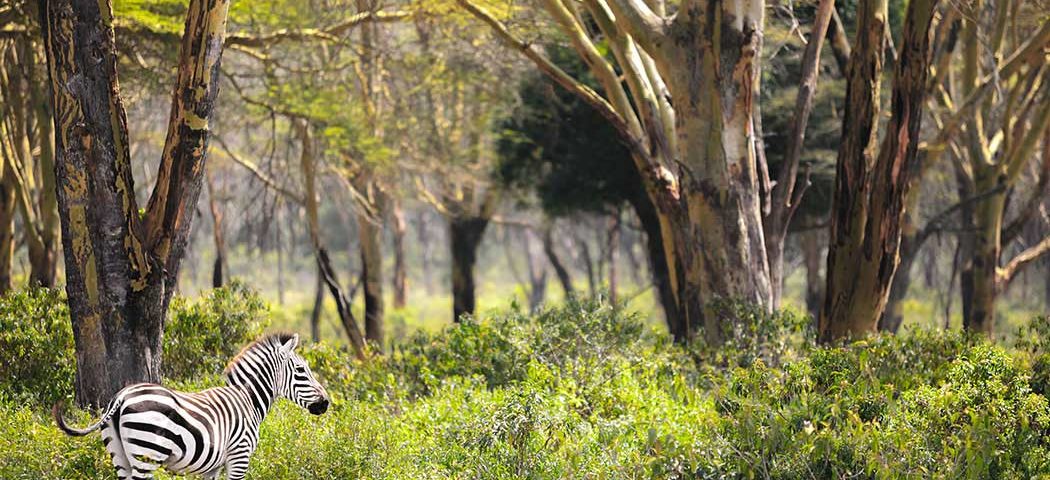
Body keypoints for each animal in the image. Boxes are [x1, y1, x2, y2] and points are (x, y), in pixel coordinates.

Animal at [53, 332, 329, 479]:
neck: (247, 399)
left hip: (119, 454)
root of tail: (121, 397)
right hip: (146, 454)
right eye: (301, 370)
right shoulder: (239, 457)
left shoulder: (213, 466)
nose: (326, 403)